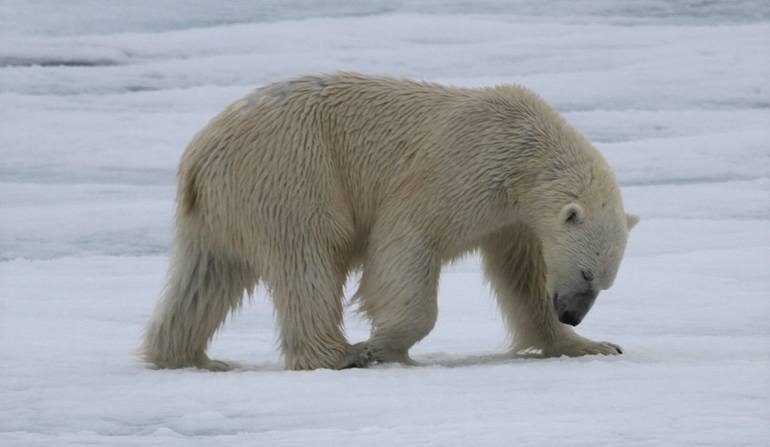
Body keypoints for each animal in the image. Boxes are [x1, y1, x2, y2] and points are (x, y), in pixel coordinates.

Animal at [140, 72, 636, 372]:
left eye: (604, 282)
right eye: (586, 272)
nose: (572, 314)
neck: (524, 154)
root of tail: (201, 151)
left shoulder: (511, 219)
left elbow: (521, 277)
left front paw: (590, 344)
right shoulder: (463, 171)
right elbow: (408, 240)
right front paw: (379, 348)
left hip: (219, 205)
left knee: (206, 276)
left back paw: (186, 356)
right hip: (293, 171)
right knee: (307, 256)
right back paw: (336, 354)